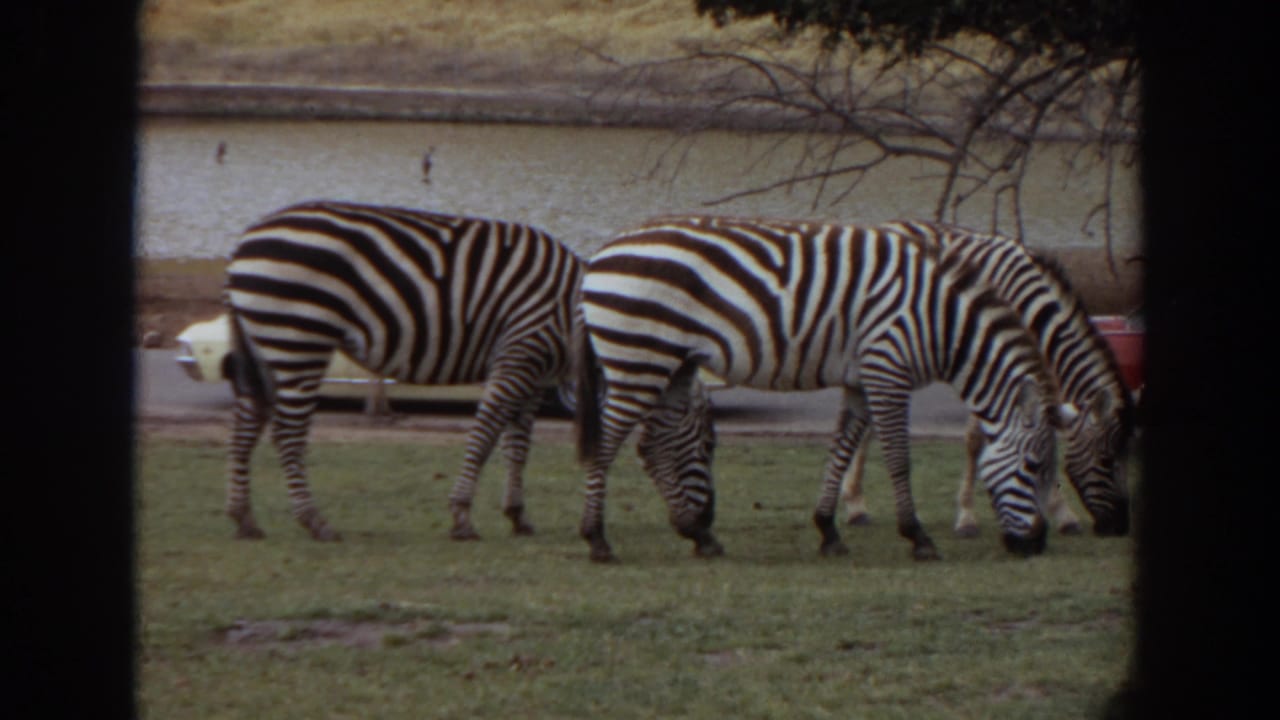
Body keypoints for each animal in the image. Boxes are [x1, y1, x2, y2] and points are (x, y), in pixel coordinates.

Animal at [222, 200, 585, 541]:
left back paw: (244, 519)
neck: (572, 309)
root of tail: (243, 243)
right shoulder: (520, 353)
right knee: (287, 432)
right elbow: (486, 435)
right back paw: (315, 522)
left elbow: (518, 445)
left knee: (247, 422)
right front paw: (462, 516)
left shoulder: (535, 374)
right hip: (297, 337)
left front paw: (517, 515)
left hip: (265, 344)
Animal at [575, 214, 1077, 563]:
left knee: (657, 443)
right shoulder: (889, 369)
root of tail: (601, 252)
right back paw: (597, 540)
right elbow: (898, 457)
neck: (942, 321)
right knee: (609, 442)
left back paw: (699, 535)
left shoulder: (862, 378)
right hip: (639, 358)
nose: (1036, 546)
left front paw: (828, 530)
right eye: (1033, 467)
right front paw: (917, 537)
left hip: (672, 363)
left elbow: (841, 447)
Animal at [840, 221, 1135, 539]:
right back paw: (854, 504)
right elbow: (975, 440)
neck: (1029, 308)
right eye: (1106, 459)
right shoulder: (990, 365)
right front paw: (967, 517)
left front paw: (1059, 513)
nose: (1119, 527)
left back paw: (854, 502)